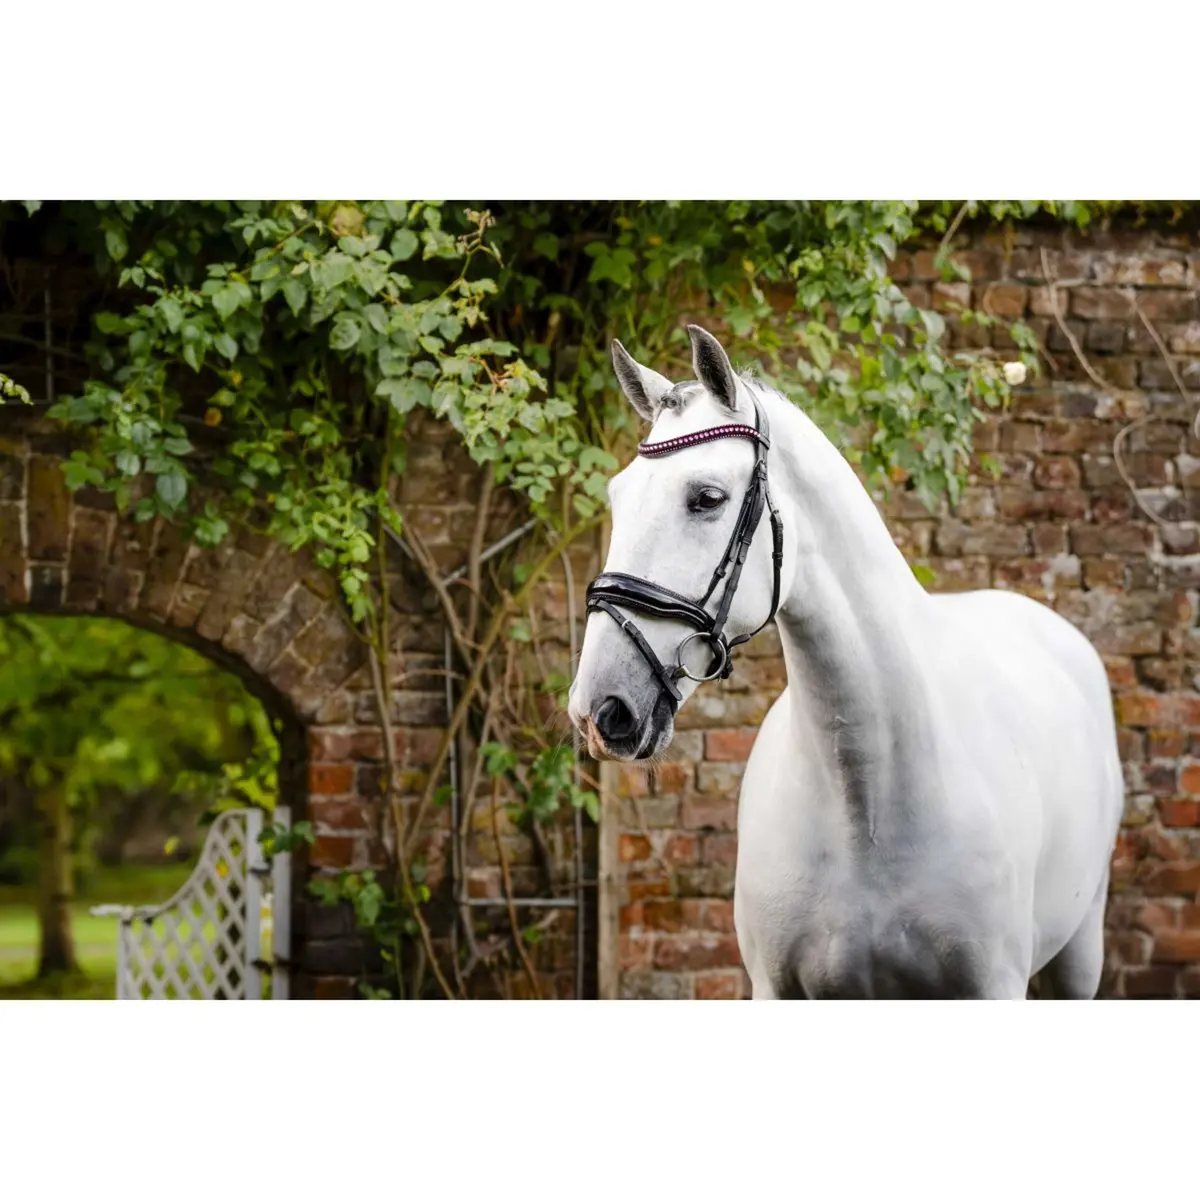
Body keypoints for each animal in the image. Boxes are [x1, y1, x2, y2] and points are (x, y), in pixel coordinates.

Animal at [568, 324, 1123, 999]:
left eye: (706, 497)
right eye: (616, 498)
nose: (599, 709)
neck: (867, 801)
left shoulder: (993, 986)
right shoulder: (775, 988)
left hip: (1080, 953)